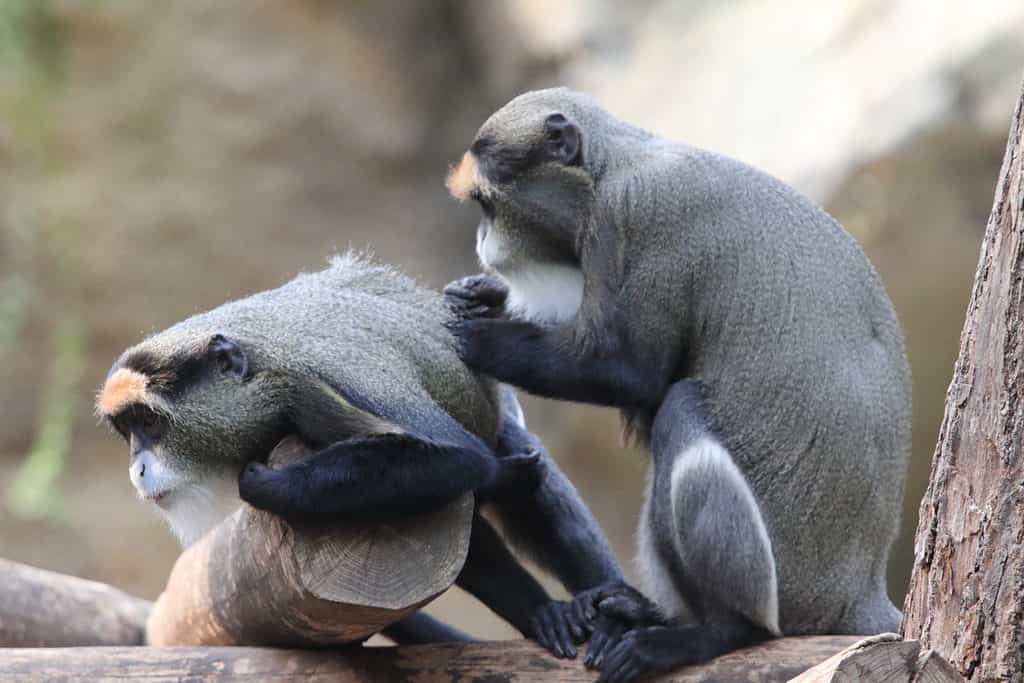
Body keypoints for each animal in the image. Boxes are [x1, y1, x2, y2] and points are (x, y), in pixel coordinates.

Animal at [95, 252, 623, 657]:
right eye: (128, 430)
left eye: (149, 423)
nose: (137, 469)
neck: (262, 369)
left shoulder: (326, 383)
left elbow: (458, 458)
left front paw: (264, 484)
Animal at [443, 87, 912, 682]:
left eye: (487, 205)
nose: (483, 241)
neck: (610, 165)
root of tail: (858, 592)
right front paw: (480, 297)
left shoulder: (633, 220)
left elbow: (630, 373)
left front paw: (476, 335)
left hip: (788, 591)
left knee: (681, 409)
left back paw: (714, 631)